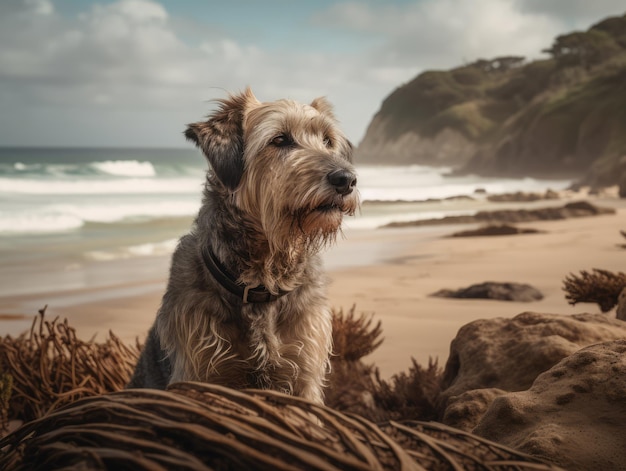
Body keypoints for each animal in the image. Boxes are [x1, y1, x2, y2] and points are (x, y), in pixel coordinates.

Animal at [127, 89, 358, 406]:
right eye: (280, 140)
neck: (262, 281)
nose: (346, 179)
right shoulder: (198, 371)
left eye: (327, 141)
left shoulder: (305, 370)